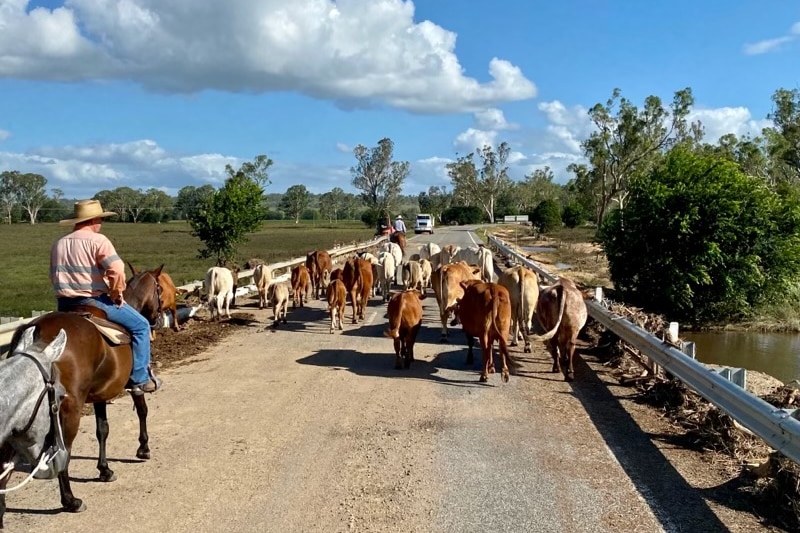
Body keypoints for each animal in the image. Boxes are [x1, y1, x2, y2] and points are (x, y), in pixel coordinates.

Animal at [0, 264, 164, 520]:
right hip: (69, 409)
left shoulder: (99, 396)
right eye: (159, 289)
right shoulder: (135, 385)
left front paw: (105, 470)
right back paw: (70, 501)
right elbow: (142, 411)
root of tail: (36, 329)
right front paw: (143, 449)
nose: (158, 318)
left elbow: (102, 429)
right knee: (62, 451)